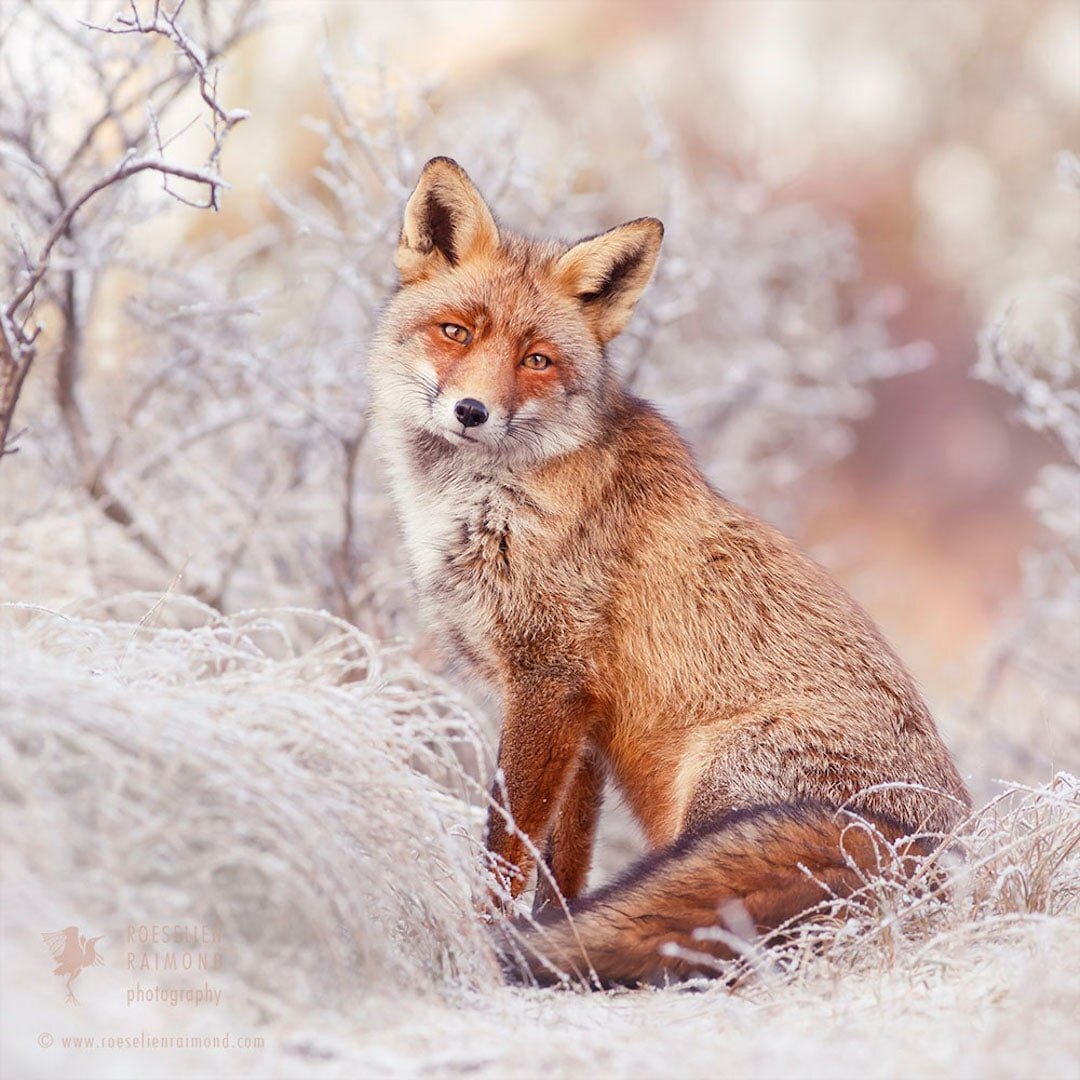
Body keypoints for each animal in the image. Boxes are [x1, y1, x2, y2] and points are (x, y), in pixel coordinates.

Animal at [371, 157, 972, 989]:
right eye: (455, 331)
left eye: (536, 359)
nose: (471, 412)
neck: (492, 505)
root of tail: (940, 862)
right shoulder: (582, 722)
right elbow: (563, 864)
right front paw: (553, 932)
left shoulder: (548, 683)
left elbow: (505, 849)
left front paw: (487, 941)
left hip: (717, 781)